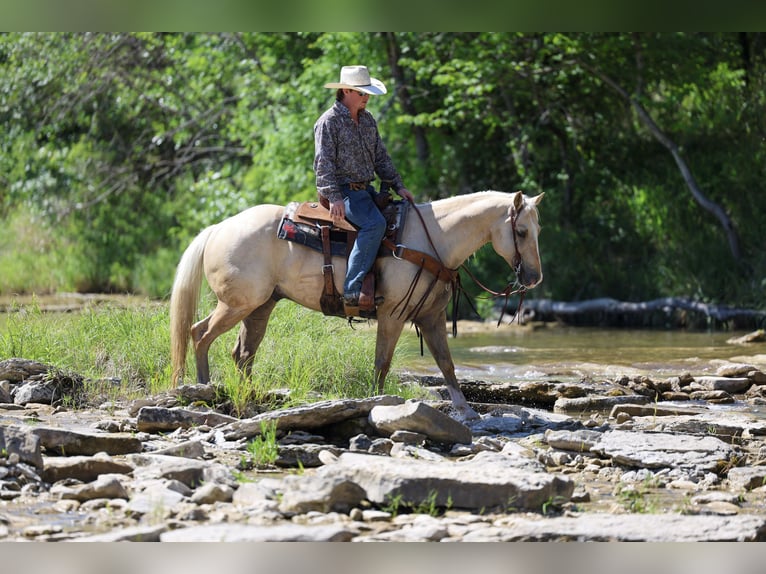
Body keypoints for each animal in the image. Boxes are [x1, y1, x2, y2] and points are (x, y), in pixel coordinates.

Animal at [169, 190, 544, 421]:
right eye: (521, 232)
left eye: (537, 230)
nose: (534, 278)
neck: (433, 240)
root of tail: (219, 227)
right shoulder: (393, 314)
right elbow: (382, 363)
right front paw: (378, 402)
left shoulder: (431, 316)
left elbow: (447, 364)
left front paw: (466, 410)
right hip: (237, 304)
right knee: (199, 334)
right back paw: (204, 390)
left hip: (259, 307)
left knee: (242, 353)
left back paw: (249, 399)